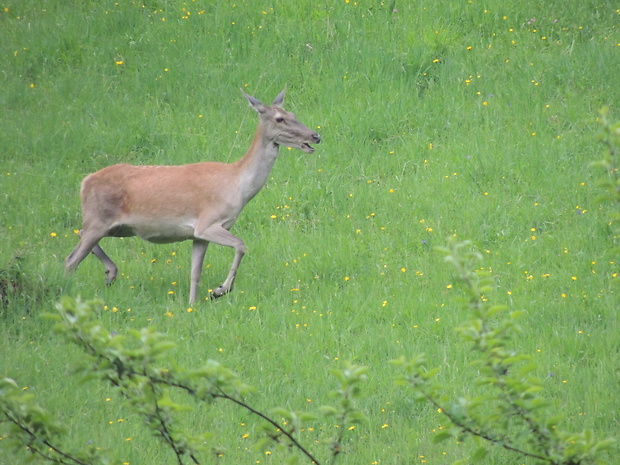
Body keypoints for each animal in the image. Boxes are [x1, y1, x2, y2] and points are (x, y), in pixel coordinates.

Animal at [65, 88, 322, 302]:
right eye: (280, 119)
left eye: (293, 113)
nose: (315, 136)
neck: (237, 185)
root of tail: (84, 183)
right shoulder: (209, 222)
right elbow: (241, 245)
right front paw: (220, 289)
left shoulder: (198, 234)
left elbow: (195, 272)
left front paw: (193, 304)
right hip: (99, 219)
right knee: (71, 259)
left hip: (111, 225)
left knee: (79, 235)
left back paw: (110, 273)